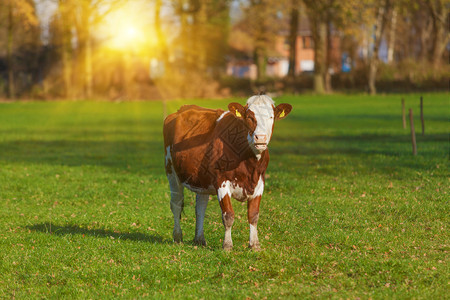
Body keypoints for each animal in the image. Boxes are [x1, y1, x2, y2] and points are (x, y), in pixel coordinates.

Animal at [162, 95, 292, 250]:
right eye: (249, 117)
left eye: (271, 117)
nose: (260, 138)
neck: (249, 164)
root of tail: (181, 109)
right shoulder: (221, 181)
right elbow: (228, 215)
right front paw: (227, 245)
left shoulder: (260, 181)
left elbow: (254, 215)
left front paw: (255, 245)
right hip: (171, 171)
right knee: (176, 203)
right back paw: (177, 236)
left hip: (202, 179)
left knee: (200, 207)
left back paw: (199, 239)